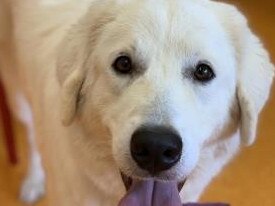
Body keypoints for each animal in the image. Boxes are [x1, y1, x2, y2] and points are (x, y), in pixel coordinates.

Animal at [0, 0, 274, 205]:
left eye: (203, 72)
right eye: (123, 64)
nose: (156, 148)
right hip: (17, 96)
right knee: (32, 137)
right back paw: (34, 180)